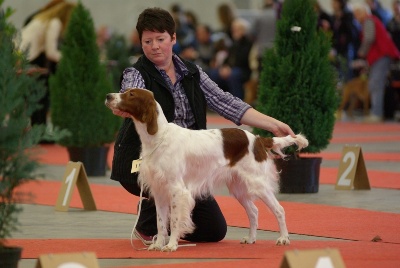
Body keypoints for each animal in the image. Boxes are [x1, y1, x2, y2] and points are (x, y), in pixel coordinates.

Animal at [104, 88, 308, 251]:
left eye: (131, 94)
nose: (108, 96)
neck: (158, 137)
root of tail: (258, 139)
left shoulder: (177, 190)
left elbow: (175, 220)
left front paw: (171, 245)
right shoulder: (159, 190)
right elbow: (161, 223)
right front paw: (158, 244)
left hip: (258, 183)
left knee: (279, 209)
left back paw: (283, 238)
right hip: (238, 187)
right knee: (253, 211)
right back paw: (250, 239)